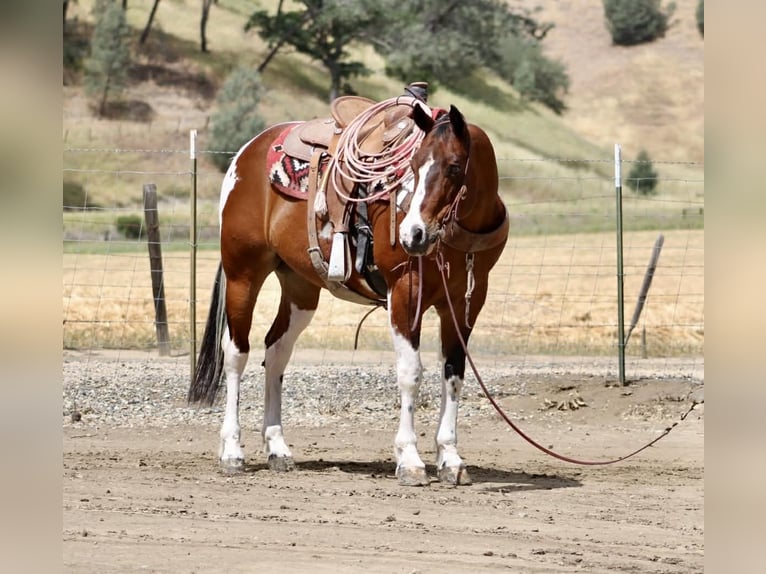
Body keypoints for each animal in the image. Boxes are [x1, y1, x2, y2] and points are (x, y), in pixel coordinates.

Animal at [188, 99, 509, 486]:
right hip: (243, 275)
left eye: (454, 167)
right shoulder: (404, 294)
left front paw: (450, 457)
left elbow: (454, 374)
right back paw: (232, 451)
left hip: (300, 288)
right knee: (236, 354)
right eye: (413, 165)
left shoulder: (466, 303)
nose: (413, 234)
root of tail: (246, 152)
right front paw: (410, 459)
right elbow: (411, 373)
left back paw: (277, 447)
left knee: (276, 351)